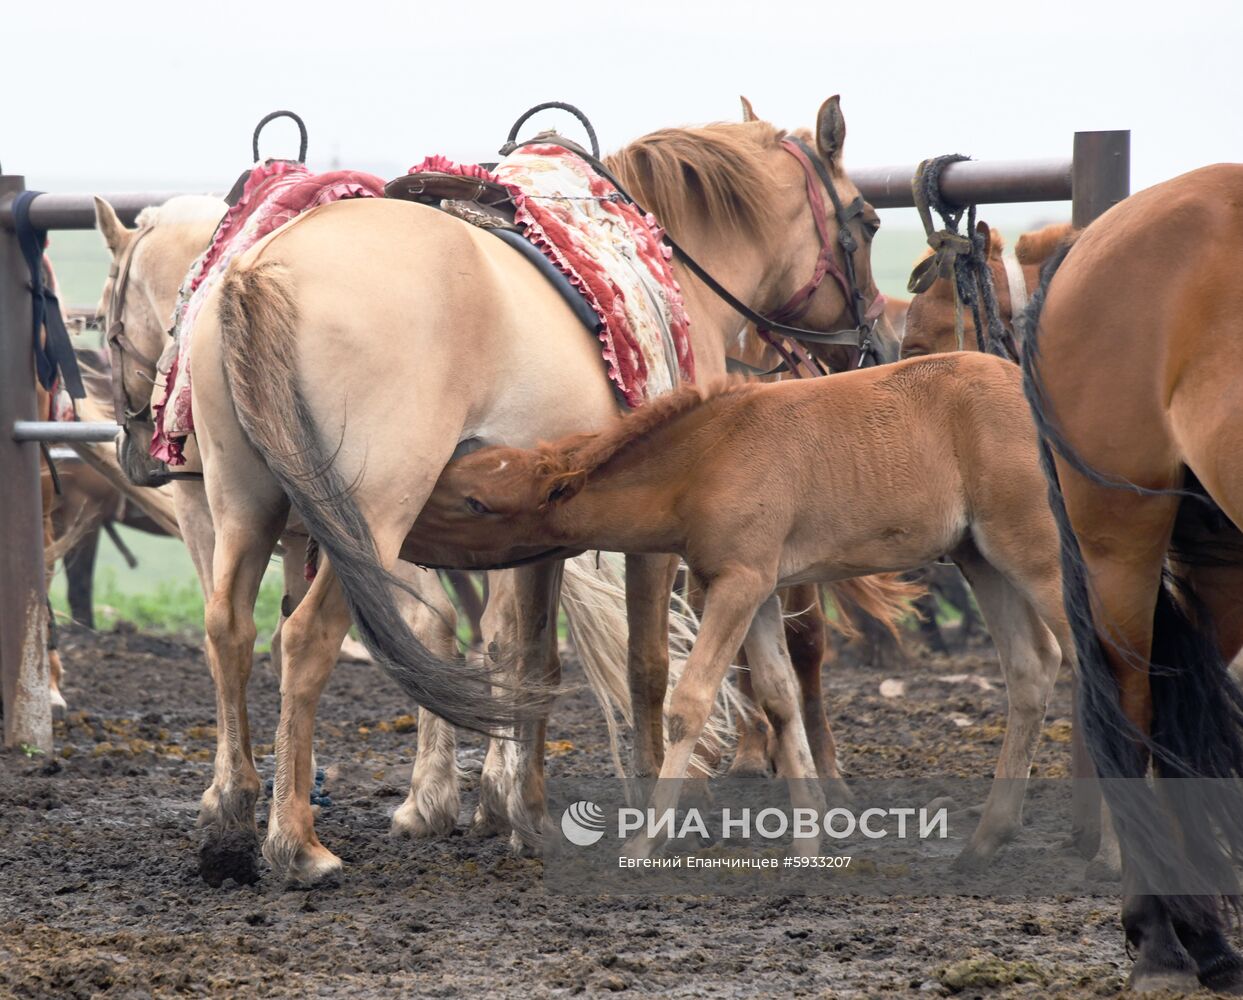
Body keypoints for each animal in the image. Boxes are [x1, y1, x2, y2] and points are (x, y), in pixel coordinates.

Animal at [183, 99, 904, 879]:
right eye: (867, 220)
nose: (875, 344)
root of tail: (267, 268)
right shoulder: (655, 536)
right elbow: (647, 668)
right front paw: (656, 808)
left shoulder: (537, 533)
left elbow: (535, 662)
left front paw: (524, 815)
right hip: (367, 520)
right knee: (306, 638)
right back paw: (296, 841)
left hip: (243, 503)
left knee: (228, 628)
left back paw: (229, 812)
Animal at [417, 352, 1068, 864]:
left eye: (475, 502)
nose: (406, 526)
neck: (709, 458)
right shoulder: (759, 592)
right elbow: (780, 700)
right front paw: (809, 839)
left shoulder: (738, 583)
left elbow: (690, 703)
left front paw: (647, 841)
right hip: (981, 559)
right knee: (1033, 668)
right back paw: (987, 839)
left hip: (1039, 558)